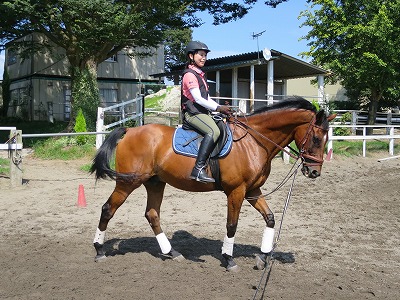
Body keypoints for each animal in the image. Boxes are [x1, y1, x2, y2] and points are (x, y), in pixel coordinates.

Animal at [91, 96, 338, 272]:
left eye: (327, 138)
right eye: (317, 138)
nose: (314, 172)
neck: (254, 140)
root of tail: (130, 130)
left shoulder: (253, 190)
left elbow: (270, 218)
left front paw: (263, 257)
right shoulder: (236, 191)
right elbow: (232, 225)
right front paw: (229, 259)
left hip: (155, 183)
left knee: (152, 214)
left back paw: (171, 252)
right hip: (128, 182)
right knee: (107, 209)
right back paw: (99, 250)